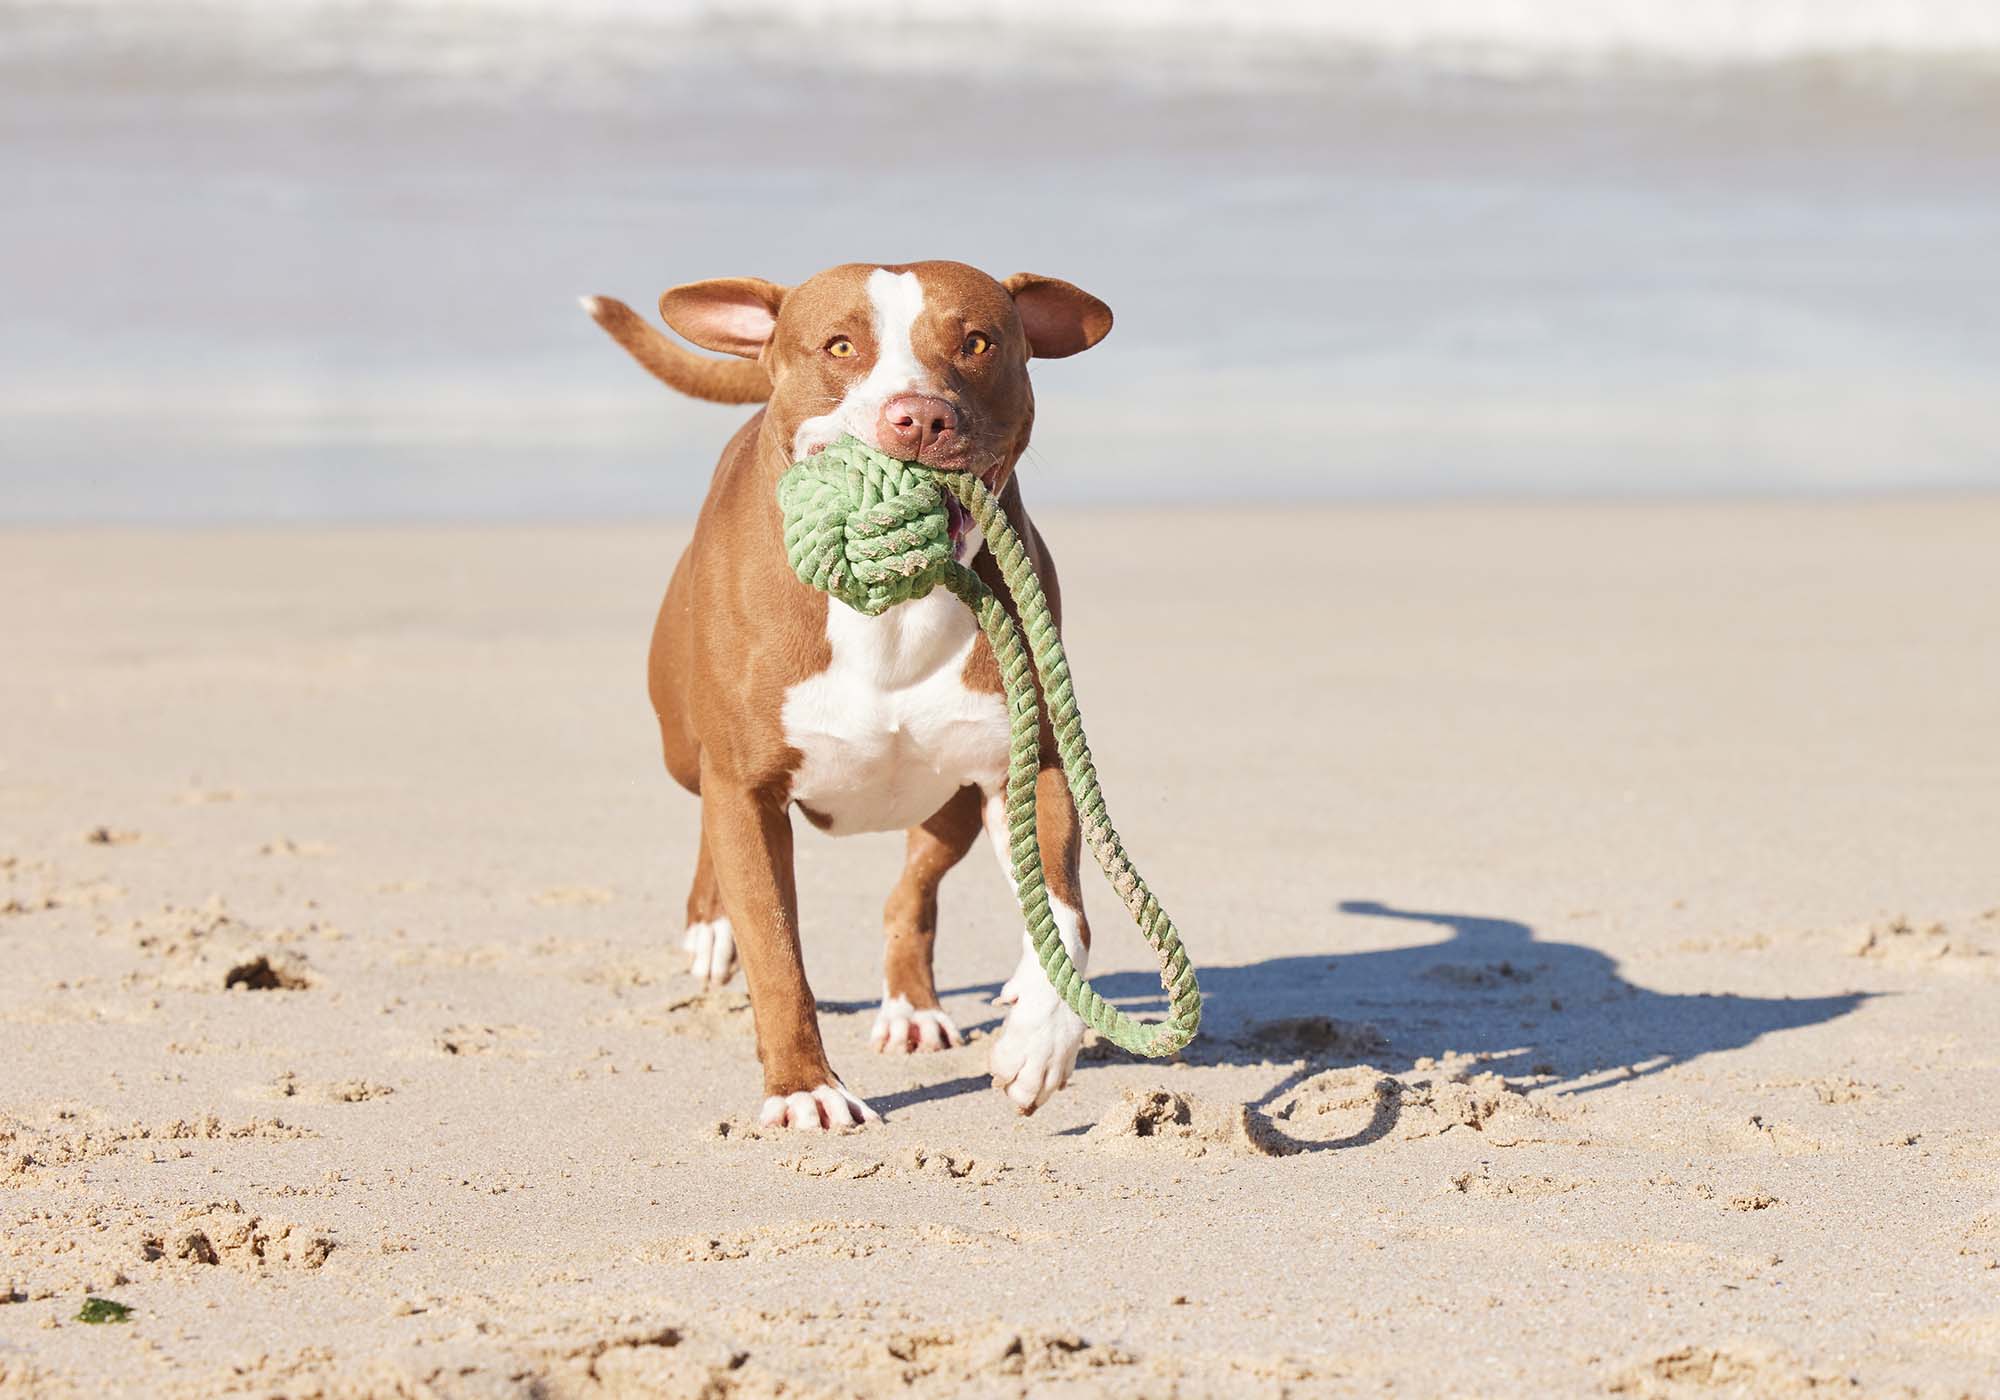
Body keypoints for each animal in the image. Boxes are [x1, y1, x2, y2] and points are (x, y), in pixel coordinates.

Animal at [580, 262, 1120, 1136]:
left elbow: (1067, 914)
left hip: (950, 802)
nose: (921, 416)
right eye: (839, 346)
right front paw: (804, 1087)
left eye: (978, 342)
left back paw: (917, 1009)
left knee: (915, 893)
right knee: (709, 826)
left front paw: (1041, 1041)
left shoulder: (1033, 763)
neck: (888, 608)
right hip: (688, 753)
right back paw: (710, 928)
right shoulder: (746, 786)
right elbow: (775, 950)